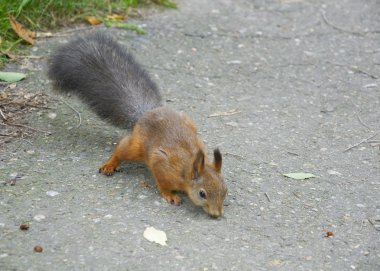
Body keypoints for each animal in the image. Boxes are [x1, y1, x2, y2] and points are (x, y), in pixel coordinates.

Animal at [47, 32, 226, 219]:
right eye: (202, 193)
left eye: (225, 190)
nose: (217, 214)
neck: (187, 169)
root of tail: (146, 113)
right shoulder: (161, 164)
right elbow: (162, 184)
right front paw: (170, 195)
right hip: (136, 147)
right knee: (122, 148)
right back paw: (110, 164)